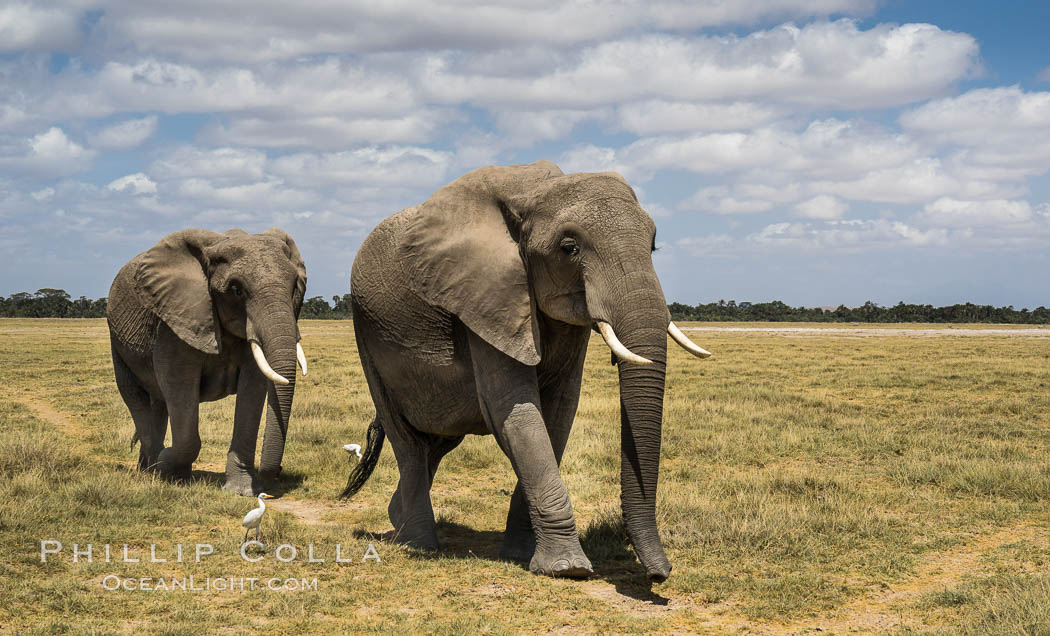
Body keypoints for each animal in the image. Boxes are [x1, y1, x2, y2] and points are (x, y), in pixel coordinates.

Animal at [109, 228, 308, 499]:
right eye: (236, 290)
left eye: (294, 287)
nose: (277, 472)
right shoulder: (173, 323)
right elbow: (180, 385)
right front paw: (166, 465)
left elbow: (253, 388)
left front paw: (242, 491)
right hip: (117, 341)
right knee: (135, 396)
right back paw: (152, 468)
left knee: (159, 403)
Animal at [344, 160, 713, 583]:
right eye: (569, 248)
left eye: (652, 245)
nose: (660, 574)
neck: (534, 193)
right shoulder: (485, 298)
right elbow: (515, 412)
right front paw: (568, 568)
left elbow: (558, 413)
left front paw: (523, 553)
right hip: (366, 335)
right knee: (407, 441)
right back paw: (417, 542)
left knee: (436, 441)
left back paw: (398, 520)